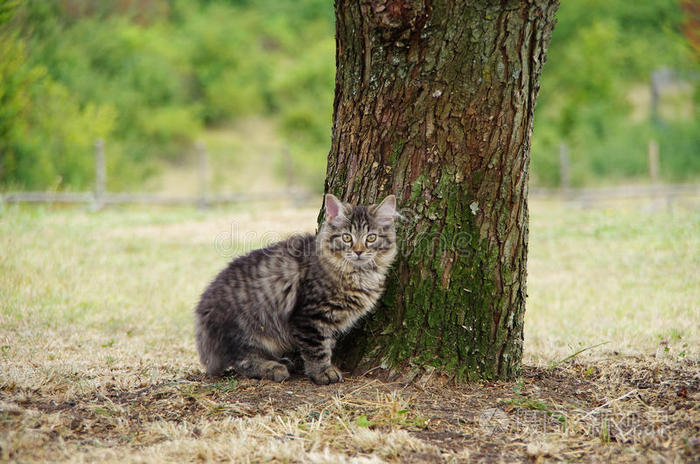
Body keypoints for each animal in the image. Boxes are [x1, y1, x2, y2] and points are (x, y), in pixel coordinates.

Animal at [194, 192, 396, 384]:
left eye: (371, 237)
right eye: (347, 237)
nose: (359, 251)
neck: (359, 274)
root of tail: (201, 311)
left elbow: (327, 344)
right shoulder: (310, 317)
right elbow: (317, 349)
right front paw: (322, 372)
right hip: (244, 329)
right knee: (244, 360)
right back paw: (272, 368)